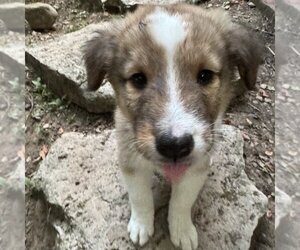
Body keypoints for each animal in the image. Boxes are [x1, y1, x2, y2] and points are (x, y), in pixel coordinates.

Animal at [83, 4, 262, 250]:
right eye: (138, 79)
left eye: (205, 75)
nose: (175, 146)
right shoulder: (131, 158)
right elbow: (140, 197)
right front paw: (141, 225)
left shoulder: (195, 165)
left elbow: (182, 201)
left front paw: (182, 230)